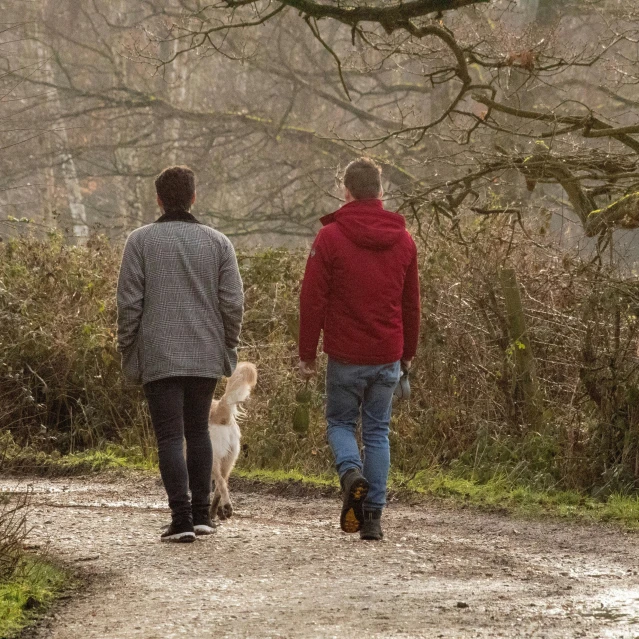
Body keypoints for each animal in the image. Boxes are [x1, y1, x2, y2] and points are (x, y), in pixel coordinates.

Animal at [211, 364, 258, 520]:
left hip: (214, 459)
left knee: (221, 483)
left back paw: (225, 507)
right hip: (229, 460)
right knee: (222, 483)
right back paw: (216, 511)